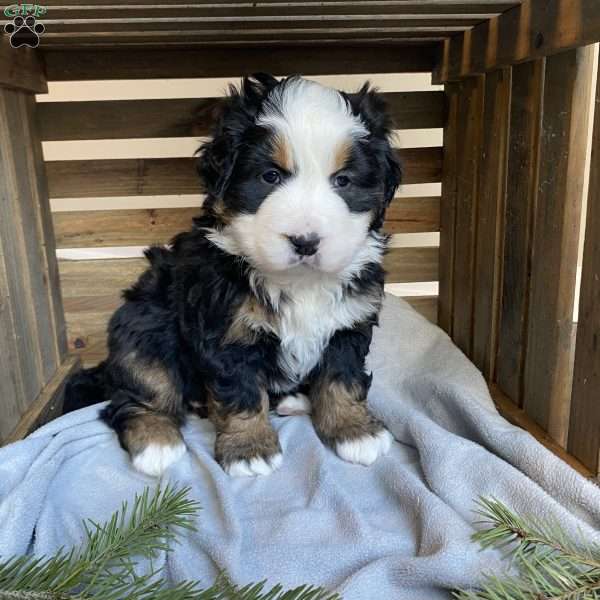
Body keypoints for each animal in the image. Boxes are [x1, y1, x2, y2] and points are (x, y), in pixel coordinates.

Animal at [68, 74, 400, 478]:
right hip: (144, 324)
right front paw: (249, 448)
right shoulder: (228, 331)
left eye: (343, 181)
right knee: (138, 392)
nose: (305, 241)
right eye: (270, 176)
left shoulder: (348, 323)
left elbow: (343, 379)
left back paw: (294, 399)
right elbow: (240, 391)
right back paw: (156, 441)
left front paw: (354, 430)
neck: (299, 282)